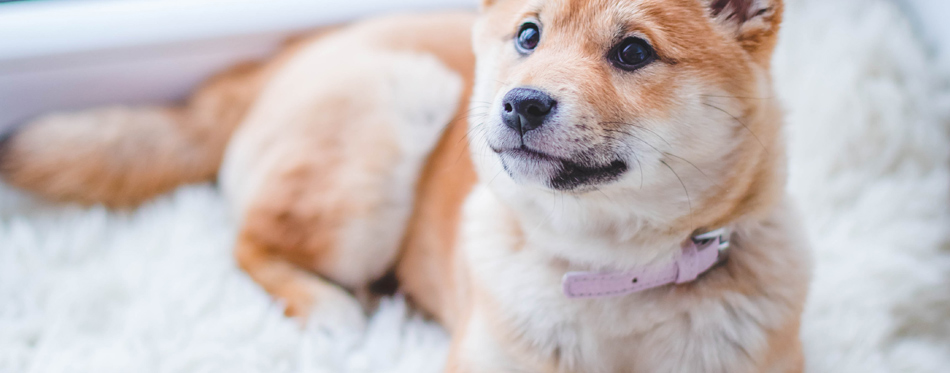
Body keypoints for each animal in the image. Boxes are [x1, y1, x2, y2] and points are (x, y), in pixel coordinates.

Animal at [0, 1, 812, 370]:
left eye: (634, 52)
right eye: (528, 36)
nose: (520, 104)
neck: (616, 276)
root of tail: (285, 54)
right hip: (391, 120)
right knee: (250, 243)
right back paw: (331, 308)